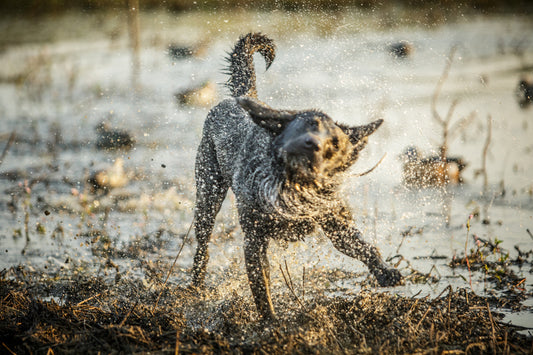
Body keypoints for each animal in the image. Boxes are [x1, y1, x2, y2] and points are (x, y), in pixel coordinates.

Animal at [189, 34, 402, 322]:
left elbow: (365, 247)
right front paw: (270, 321)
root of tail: (243, 96)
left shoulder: (337, 225)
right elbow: (261, 286)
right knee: (202, 246)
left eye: (334, 143)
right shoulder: (254, 240)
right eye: (305, 126)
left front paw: (385, 271)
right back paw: (195, 285)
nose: (311, 145)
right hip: (208, 194)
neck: (295, 190)